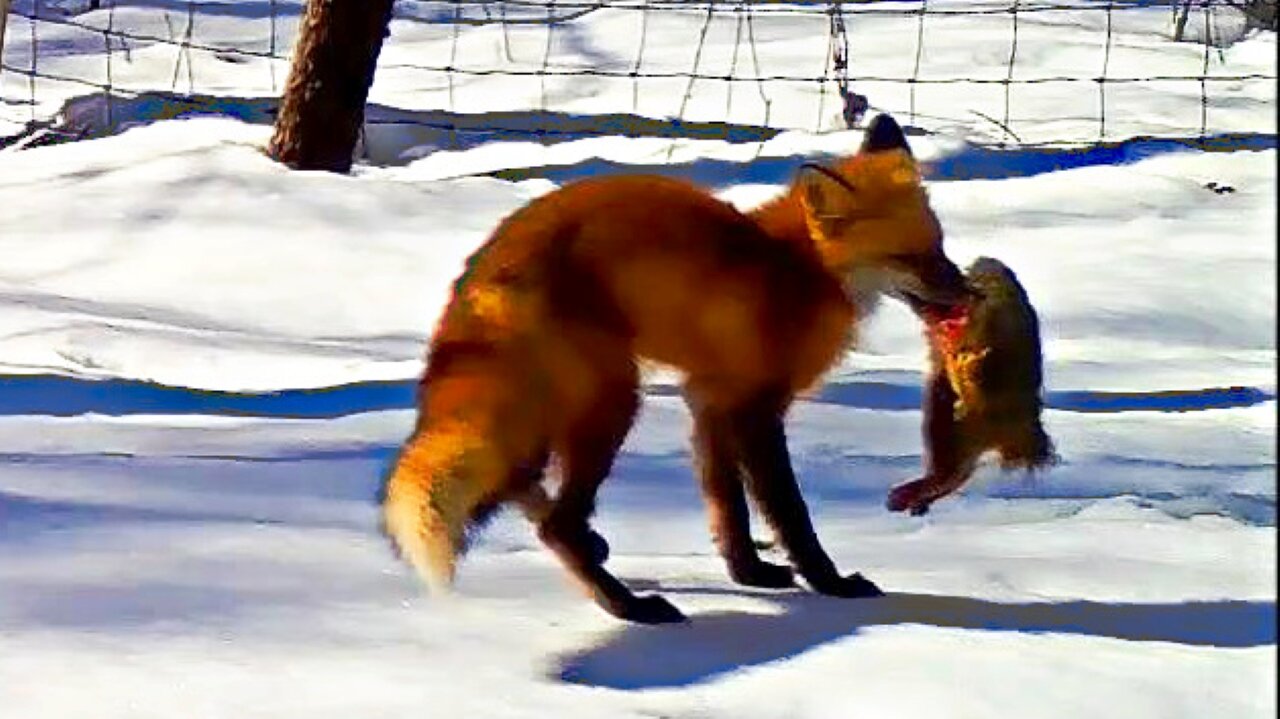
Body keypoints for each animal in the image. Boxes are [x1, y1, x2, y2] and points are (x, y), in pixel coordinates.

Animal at [378, 113, 967, 621]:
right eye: (909, 259)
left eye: (940, 246)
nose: (968, 291)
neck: (801, 269)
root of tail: (490, 261)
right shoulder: (756, 410)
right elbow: (791, 515)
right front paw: (832, 584)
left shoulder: (710, 399)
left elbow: (727, 506)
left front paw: (750, 574)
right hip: (615, 401)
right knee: (554, 525)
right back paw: (629, 607)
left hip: (552, 411)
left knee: (518, 485)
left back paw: (594, 554)